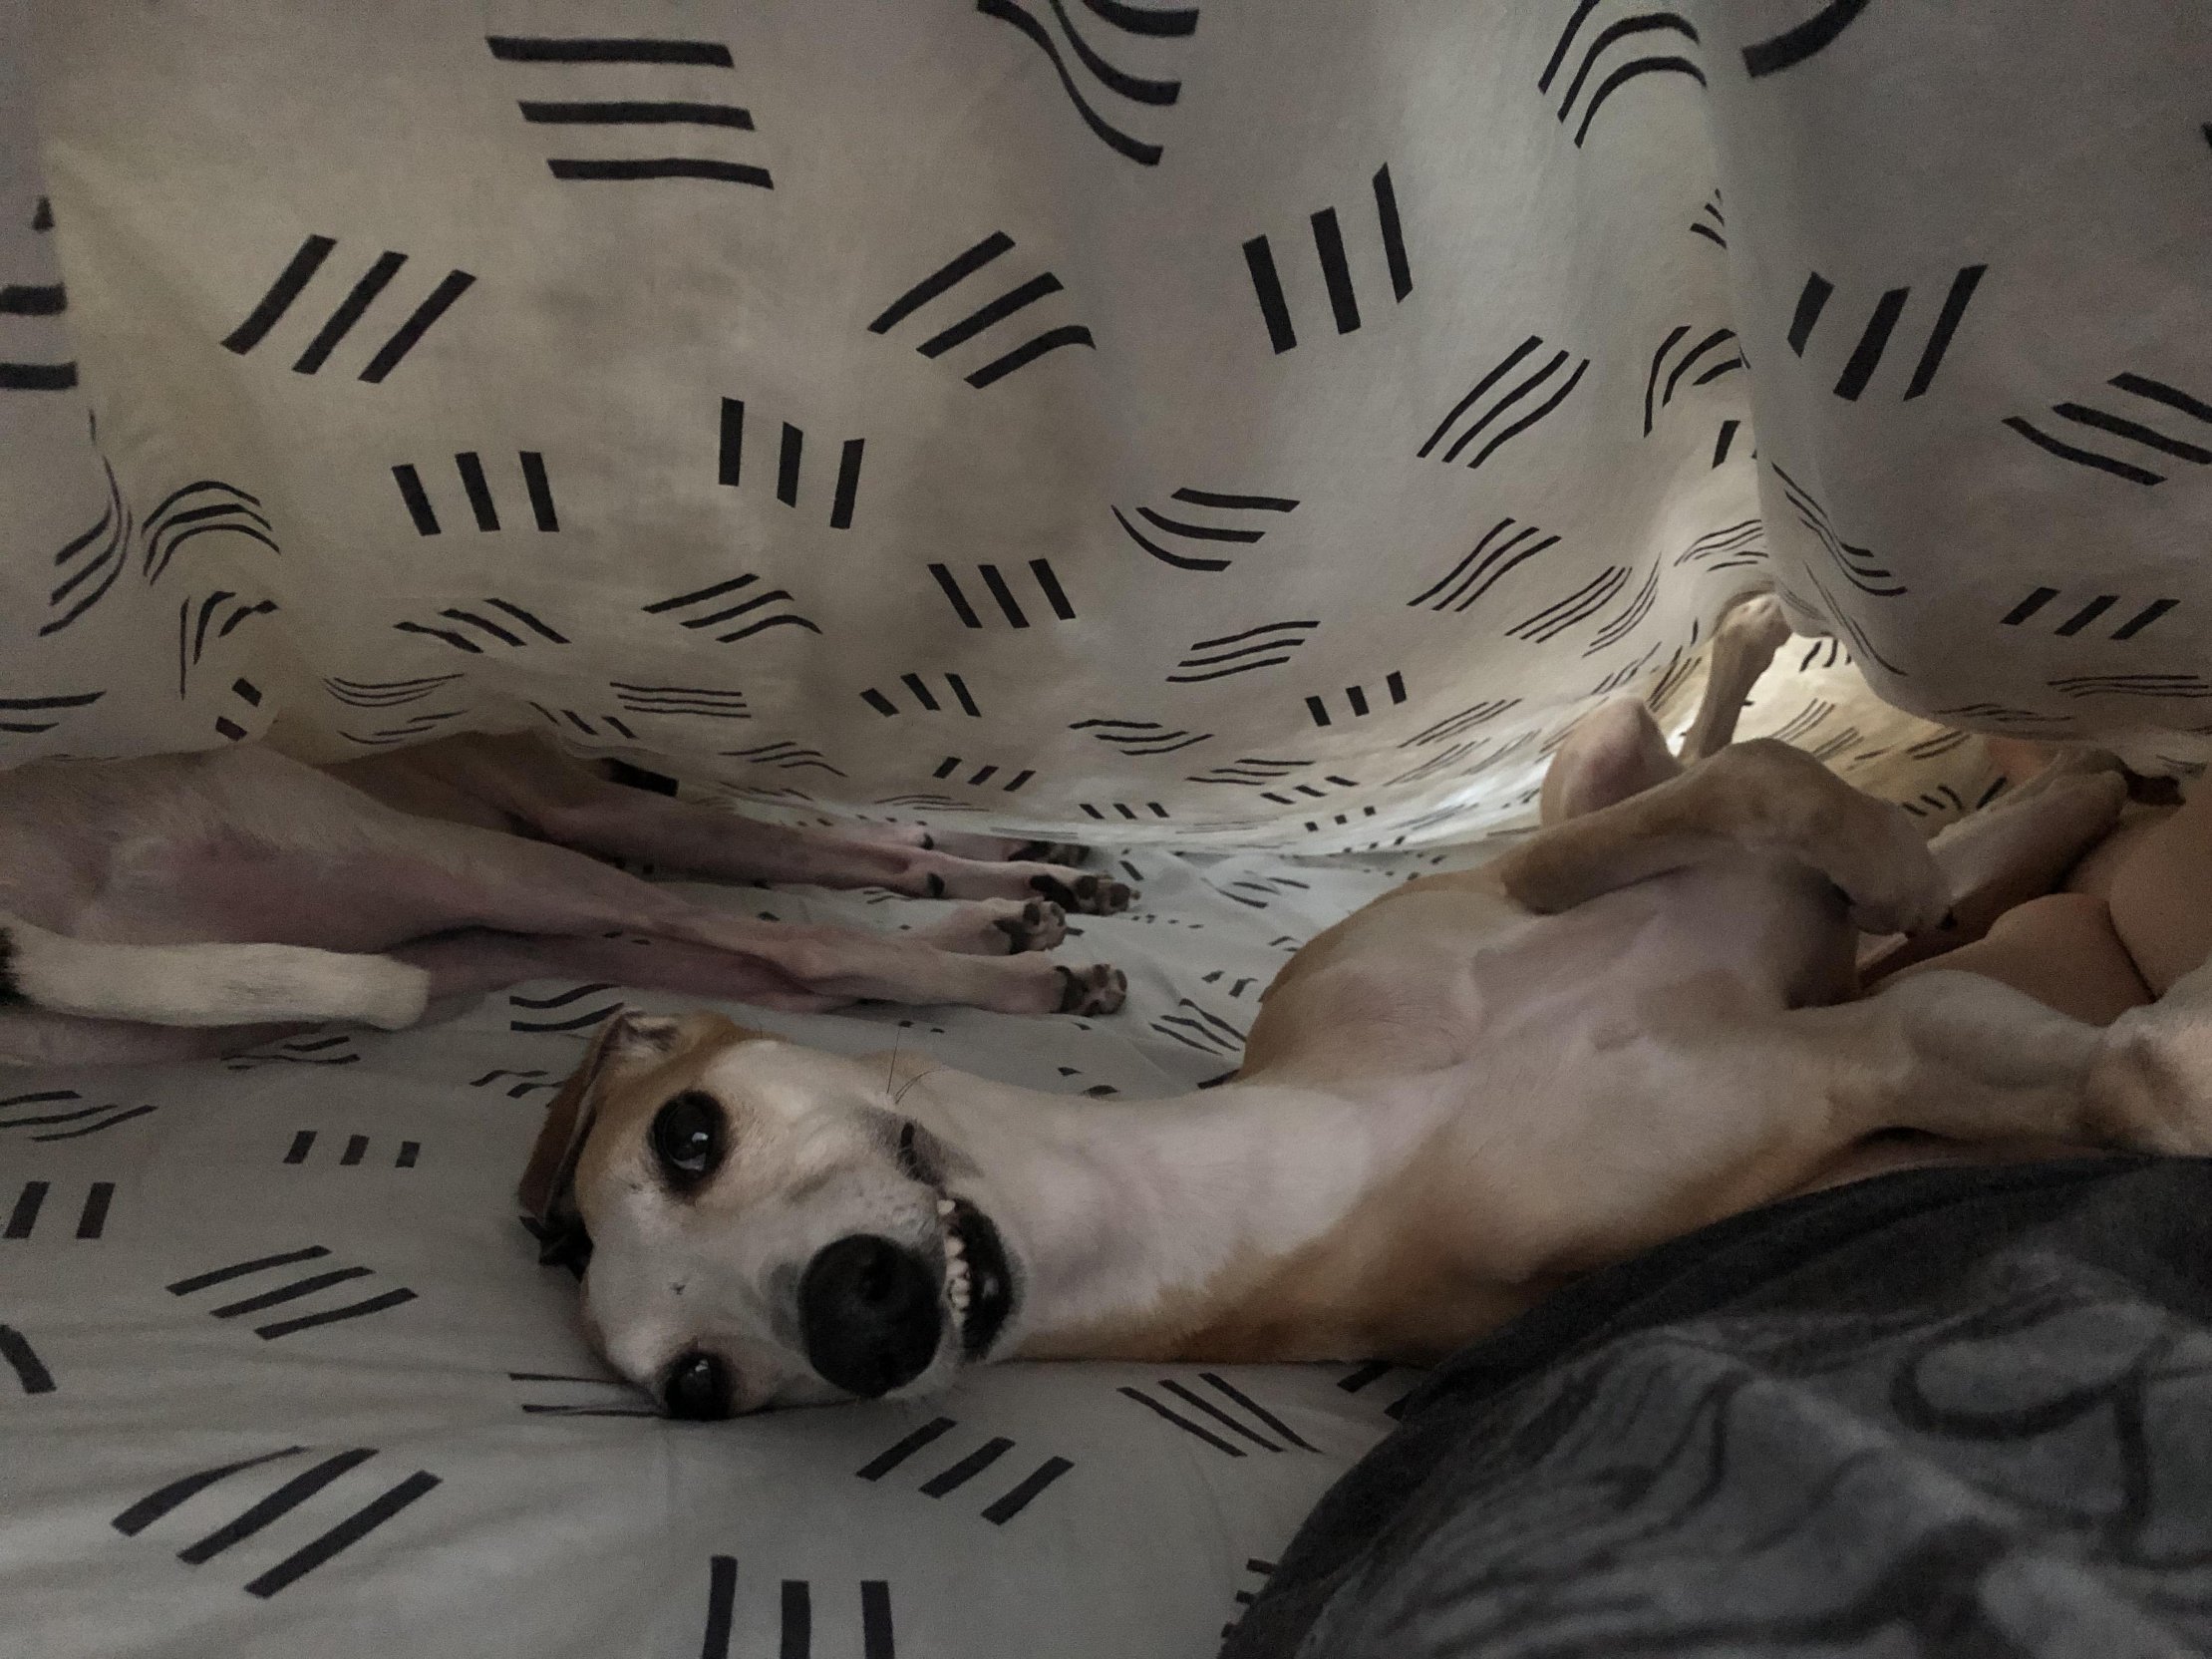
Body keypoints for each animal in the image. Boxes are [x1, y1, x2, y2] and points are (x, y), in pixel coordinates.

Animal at [0, 732, 1130, 1066]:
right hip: (482, 867)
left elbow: (881, 842)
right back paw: (1044, 967)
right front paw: (1033, 875)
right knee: (808, 955)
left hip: (483, 936)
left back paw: (1012, 937)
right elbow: (843, 846)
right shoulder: (611, 810)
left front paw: (1032, 868)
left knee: (779, 970)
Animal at [519, 681, 2212, 1420]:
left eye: (687, 1133)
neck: (1344, 1138)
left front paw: (1884, 841)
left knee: (1691, 730)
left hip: (1594, 767)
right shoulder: (1847, 1067)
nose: (852, 1317)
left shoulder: (1528, 889)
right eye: (694, 1387)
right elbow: (2115, 1076)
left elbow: (1764, 785)